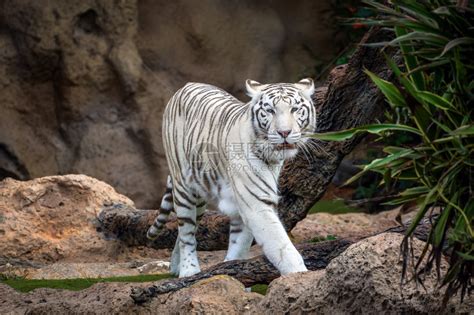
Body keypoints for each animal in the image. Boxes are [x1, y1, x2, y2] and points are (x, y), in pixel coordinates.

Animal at [148, 79, 316, 278]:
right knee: (186, 232)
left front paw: (231, 267)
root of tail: (186, 85)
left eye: (295, 109)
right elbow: (281, 245)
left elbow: (239, 244)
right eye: (270, 110)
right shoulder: (255, 203)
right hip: (183, 186)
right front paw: (299, 275)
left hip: (200, 196)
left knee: (185, 232)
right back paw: (189, 271)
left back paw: (176, 266)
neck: (273, 158)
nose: (284, 132)